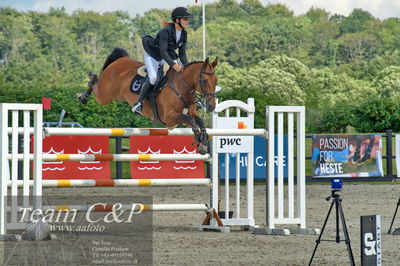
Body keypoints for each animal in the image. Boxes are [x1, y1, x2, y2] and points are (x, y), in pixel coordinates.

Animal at [76, 48, 217, 155]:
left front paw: (203, 143)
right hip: (104, 95)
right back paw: (83, 95)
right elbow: (191, 120)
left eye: (216, 81)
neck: (182, 87)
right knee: (94, 82)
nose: (211, 106)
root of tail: (121, 59)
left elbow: (200, 121)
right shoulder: (170, 118)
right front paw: (198, 140)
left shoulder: (189, 114)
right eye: (204, 81)